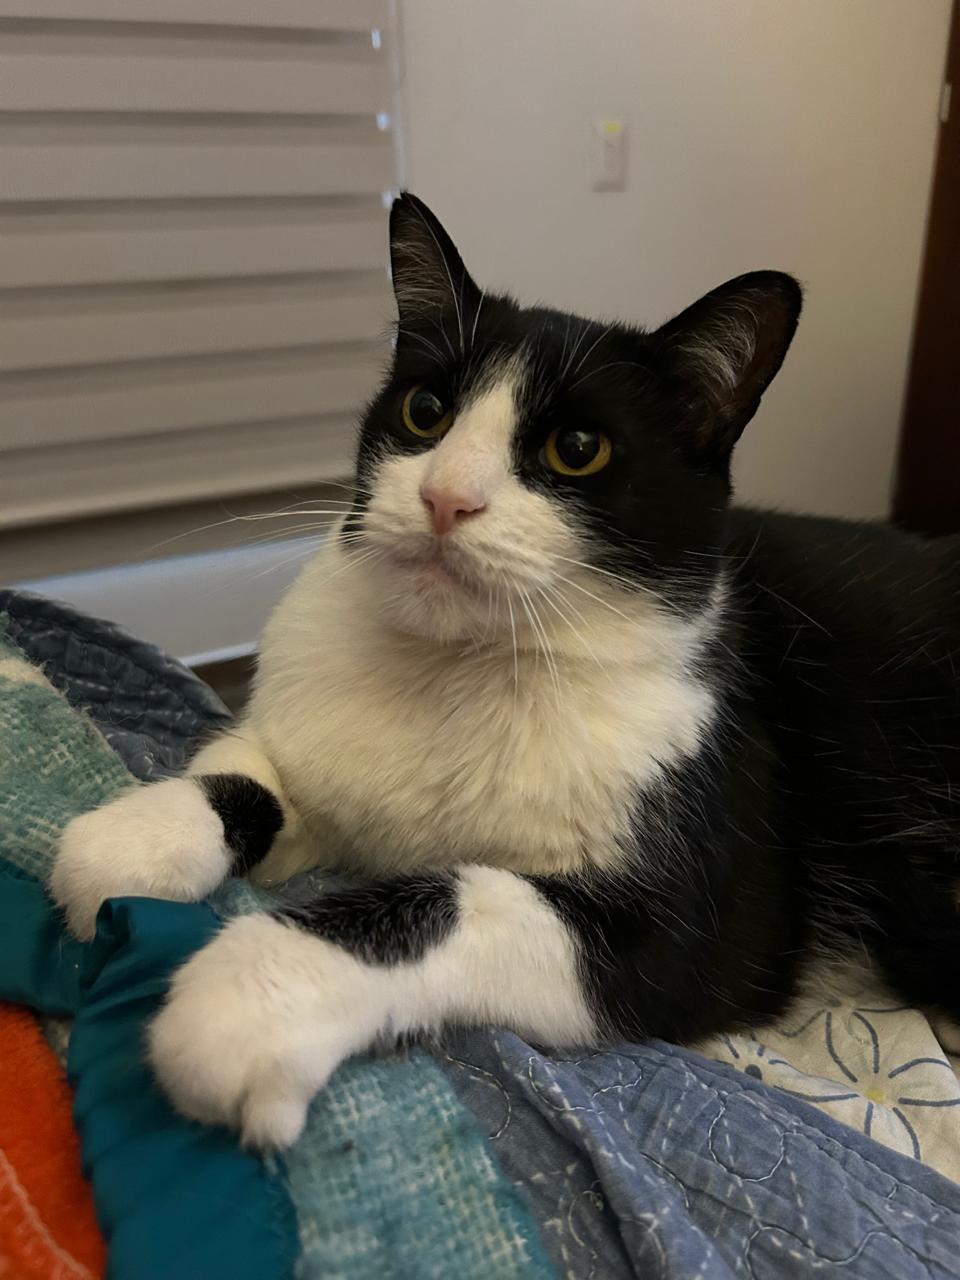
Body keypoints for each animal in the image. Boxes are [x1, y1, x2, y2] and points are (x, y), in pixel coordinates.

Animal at [50, 193, 960, 1150]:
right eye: (425, 410)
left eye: (578, 448)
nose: (445, 496)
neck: (456, 665)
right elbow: (252, 768)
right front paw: (137, 836)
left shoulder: (709, 927)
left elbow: (466, 895)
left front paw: (250, 993)